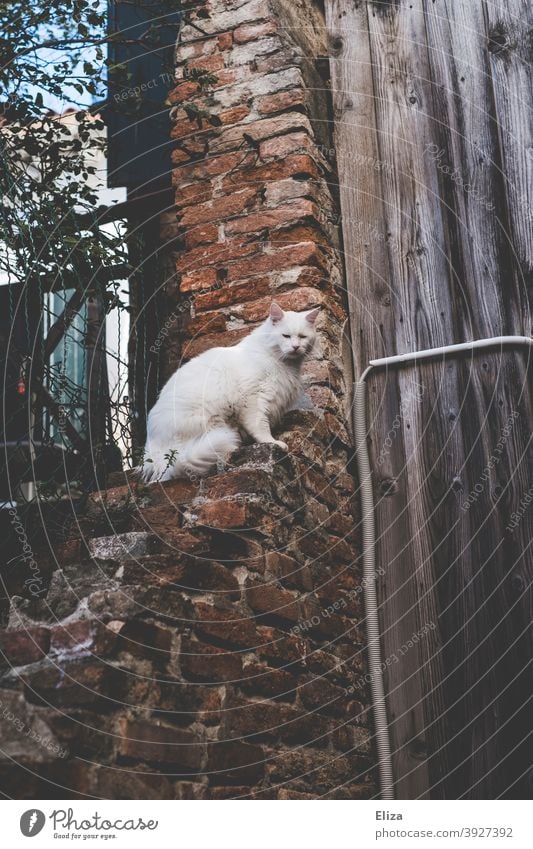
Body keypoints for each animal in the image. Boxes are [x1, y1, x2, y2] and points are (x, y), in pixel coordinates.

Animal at [139, 302, 318, 480]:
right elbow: (260, 426)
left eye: (302, 337)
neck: (284, 363)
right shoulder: (253, 399)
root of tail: (155, 453)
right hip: (211, 419)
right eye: (286, 336)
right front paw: (273, 442)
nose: (295, 347)